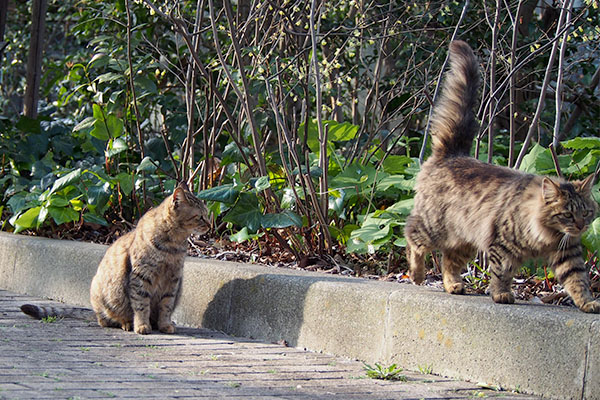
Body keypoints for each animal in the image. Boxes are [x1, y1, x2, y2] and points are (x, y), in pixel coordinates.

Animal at [21, 181, 210, 332]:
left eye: (207, 214)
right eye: (200, 217)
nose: (210, 224)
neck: (174, 244)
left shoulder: (173, 279)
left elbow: (166, 306)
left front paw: (165, 325)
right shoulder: (141, 276)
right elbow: (141, 304)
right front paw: (142, 326)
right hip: (101, 292)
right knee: (106, 319)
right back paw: (127, 323)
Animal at [406, 39, 596, 312]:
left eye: (587, 212)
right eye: (568, 215)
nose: (581, 226)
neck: (547, 234)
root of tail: (453, 154)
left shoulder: (568, 253)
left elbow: (578, 281)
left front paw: (588, 303)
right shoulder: (501, 244)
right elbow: (501, 272)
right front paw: (501, 294)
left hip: (464, 241)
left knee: (448, 261)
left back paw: (454, 286)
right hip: (434, 226)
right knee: (412, 237)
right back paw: (417, 274)